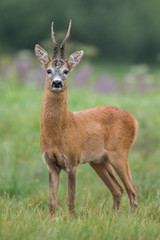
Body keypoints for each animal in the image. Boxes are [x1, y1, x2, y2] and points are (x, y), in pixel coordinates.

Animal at [34, 20, 138, 216]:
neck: (58, 132)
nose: (57, 83)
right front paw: (50, 220)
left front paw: (71, 219)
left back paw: (129, 218)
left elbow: (71, 201)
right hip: (99, 161)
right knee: (118, 189)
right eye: (48, 70)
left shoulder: (72, 160)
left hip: (120, 152)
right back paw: (115, 216)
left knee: (132, 189)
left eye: (66, 71)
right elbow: (52, 203)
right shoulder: (51, 163)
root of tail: (133, 120)